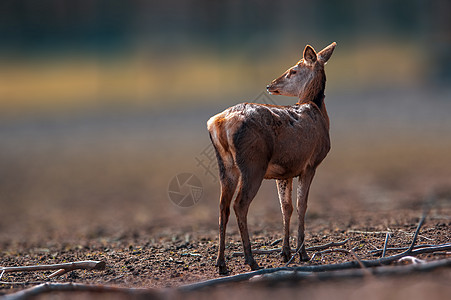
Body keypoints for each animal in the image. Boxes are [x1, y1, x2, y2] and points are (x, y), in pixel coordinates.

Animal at [207, 42, 336, 274]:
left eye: (293, 70)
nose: (270, 85)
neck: (319, 113)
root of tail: (219, 123)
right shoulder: (310, 163)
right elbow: (302, 205)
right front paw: (302, 253)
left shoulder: (285, 171)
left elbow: (286, 207)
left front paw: (285, 252)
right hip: (253, 163)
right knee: (240, 204)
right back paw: (251, 260)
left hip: (226, 165)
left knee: (223, 207)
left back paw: (221, 264)